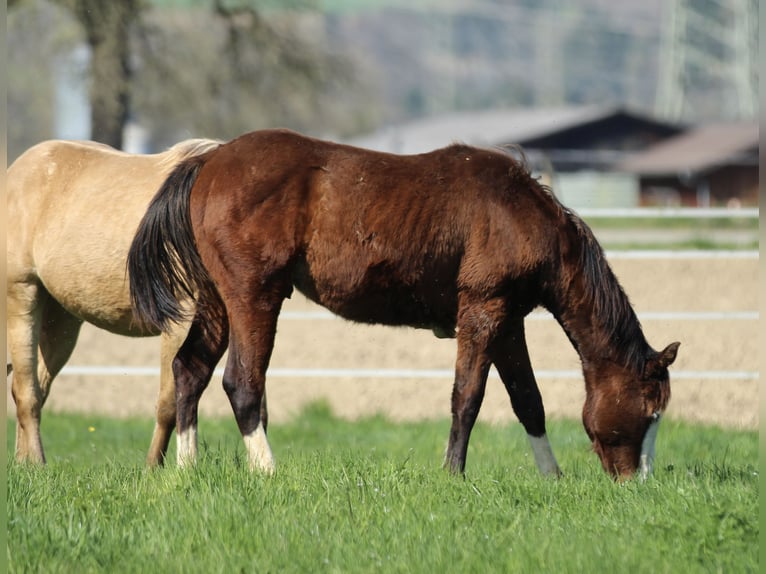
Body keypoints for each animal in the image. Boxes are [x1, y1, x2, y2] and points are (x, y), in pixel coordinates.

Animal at [6, 137, 225, 466]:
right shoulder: (181, 321)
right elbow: (168, 402)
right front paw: (154, 468)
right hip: (22, 297)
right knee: (26, 392)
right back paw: (38, 464)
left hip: (61, 320)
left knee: (36, 387)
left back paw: (26, 464)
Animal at [127, 128, 680, 479]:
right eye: (650, 411)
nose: (637, 483)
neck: (523, 216)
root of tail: (209, 161)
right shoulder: (482, 311)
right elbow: (468, 397)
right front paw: (453, 475)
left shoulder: (507, 322)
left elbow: (529, 400)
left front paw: (552, 477)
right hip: (253, 296)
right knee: (242, 384)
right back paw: (267, 471)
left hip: (218, 302)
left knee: (189, 370)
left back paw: (188, 470)